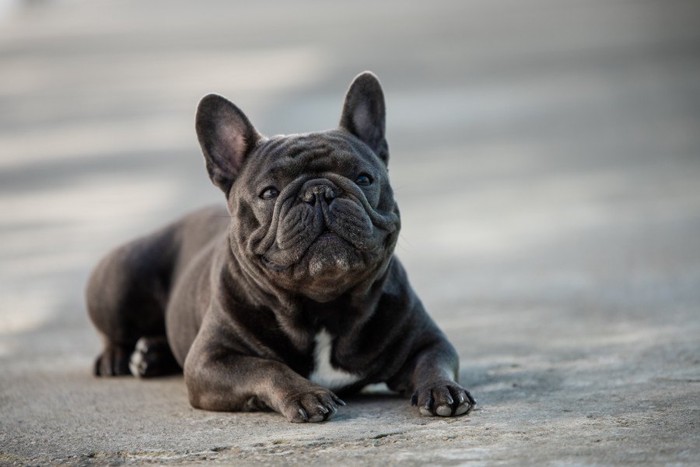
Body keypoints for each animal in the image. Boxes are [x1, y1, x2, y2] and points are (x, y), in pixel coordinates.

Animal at [85, 70, 474, 424]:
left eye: (364, 178)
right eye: (269, 192)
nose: (319, 191)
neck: (323, 308)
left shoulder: (427, 340)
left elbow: (434, 362)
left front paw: (443, 390)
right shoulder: (211, 360)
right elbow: (266, 368)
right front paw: (306, 394)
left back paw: (150, 355)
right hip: (121, 279)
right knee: (114, 331)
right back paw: (117, 358)